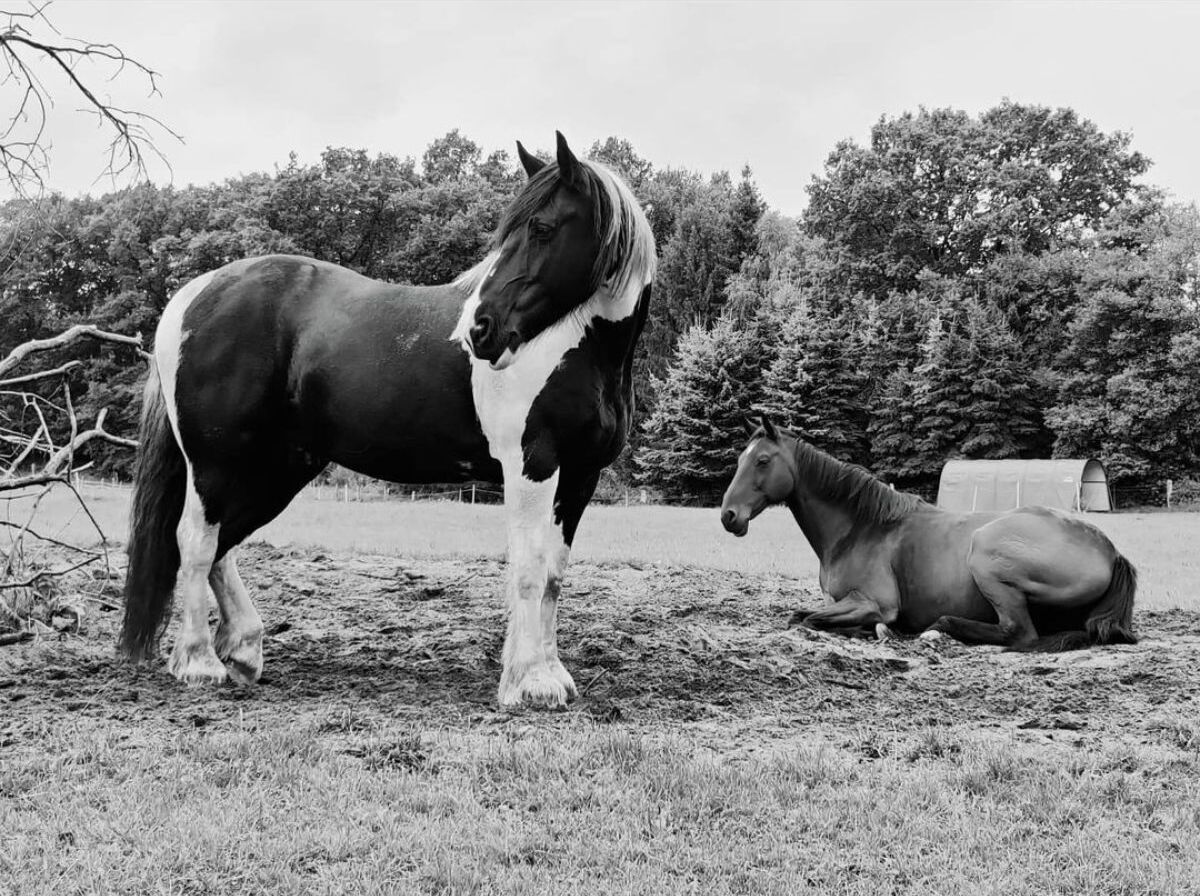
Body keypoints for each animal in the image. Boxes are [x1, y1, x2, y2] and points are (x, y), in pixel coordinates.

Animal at [119, 133, 657, 710]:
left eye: (542, 228)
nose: (479, 330)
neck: (576, 346)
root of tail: (191, 295)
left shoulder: (580, 475)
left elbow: (554, 573)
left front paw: (547, 673)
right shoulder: (533, 465)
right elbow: (530, 569)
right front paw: (530, 682)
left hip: (277, 469)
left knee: (222, 541)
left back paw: (242, 649)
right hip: (216, 464)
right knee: (196, 541)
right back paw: (198, 662)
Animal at [715, 417, 1137, 647]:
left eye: (762, 460)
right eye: (740, 458)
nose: (728, 516)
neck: (861, 529)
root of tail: (1111, 551)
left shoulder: (873, 602)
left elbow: (804, 619)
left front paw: (881, 631)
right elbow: (808, 615)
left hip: (986, 556)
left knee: (1017, 633)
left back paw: (938, 630)